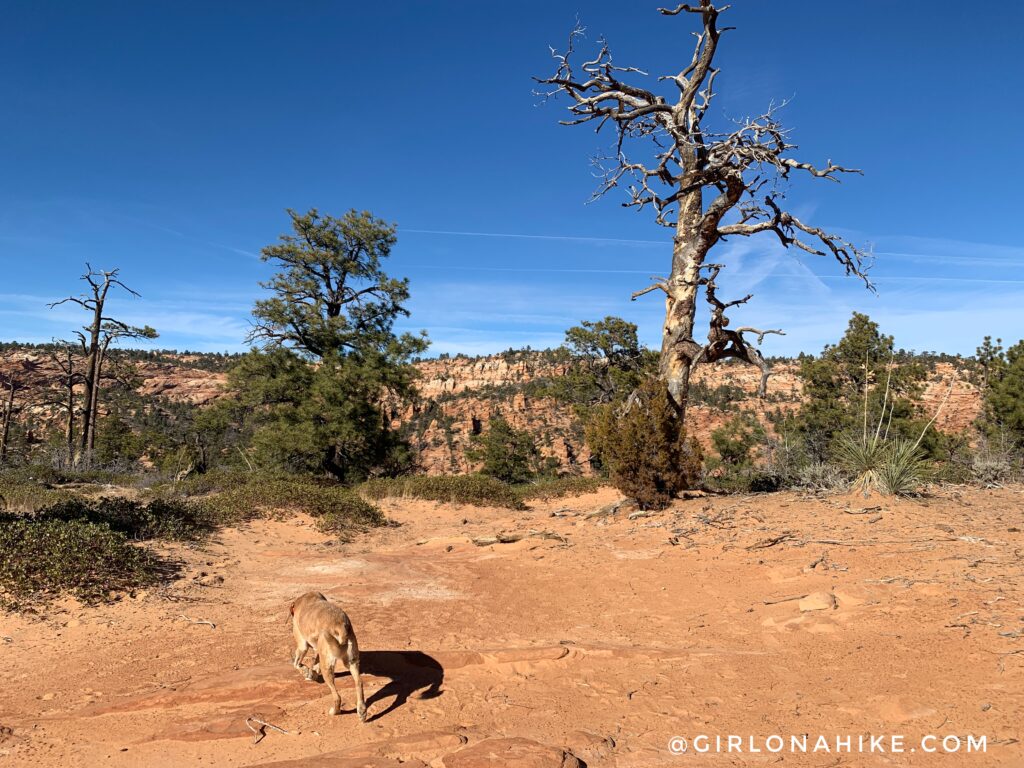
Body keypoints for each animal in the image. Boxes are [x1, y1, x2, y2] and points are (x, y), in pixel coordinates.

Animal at [288, 593, 368, 724]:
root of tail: (341, 625)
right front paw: (312, 673)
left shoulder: (302, 646)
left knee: (337, 697)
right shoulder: (318, 650)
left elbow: (296, 664)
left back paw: (335, 711)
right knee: (359, 683)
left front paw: (307, 673)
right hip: (352, 662)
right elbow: (314, 663)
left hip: (328, 668)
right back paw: (361, 711)